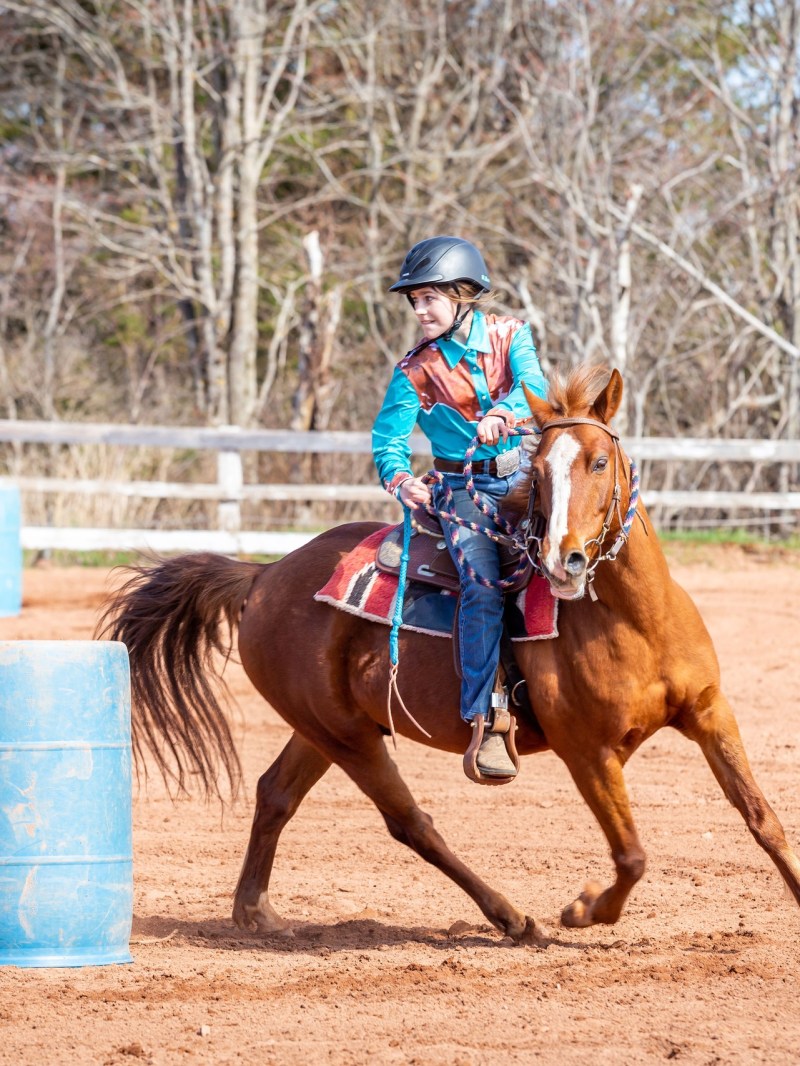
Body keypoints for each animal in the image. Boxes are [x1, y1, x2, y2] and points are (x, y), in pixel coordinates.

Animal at [98, 364, 800, 945]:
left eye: (600, 461)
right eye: (539, 473)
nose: (563, 560)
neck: (634, 619)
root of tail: (264, 575)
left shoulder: (710, 712)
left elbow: (763, 818)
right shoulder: (587, 752)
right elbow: (631, 854)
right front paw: (581, 911)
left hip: (323, 728)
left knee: (275, 793)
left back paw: (256, 914)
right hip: (349, 737)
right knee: (412, 822)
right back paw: (513, 918)